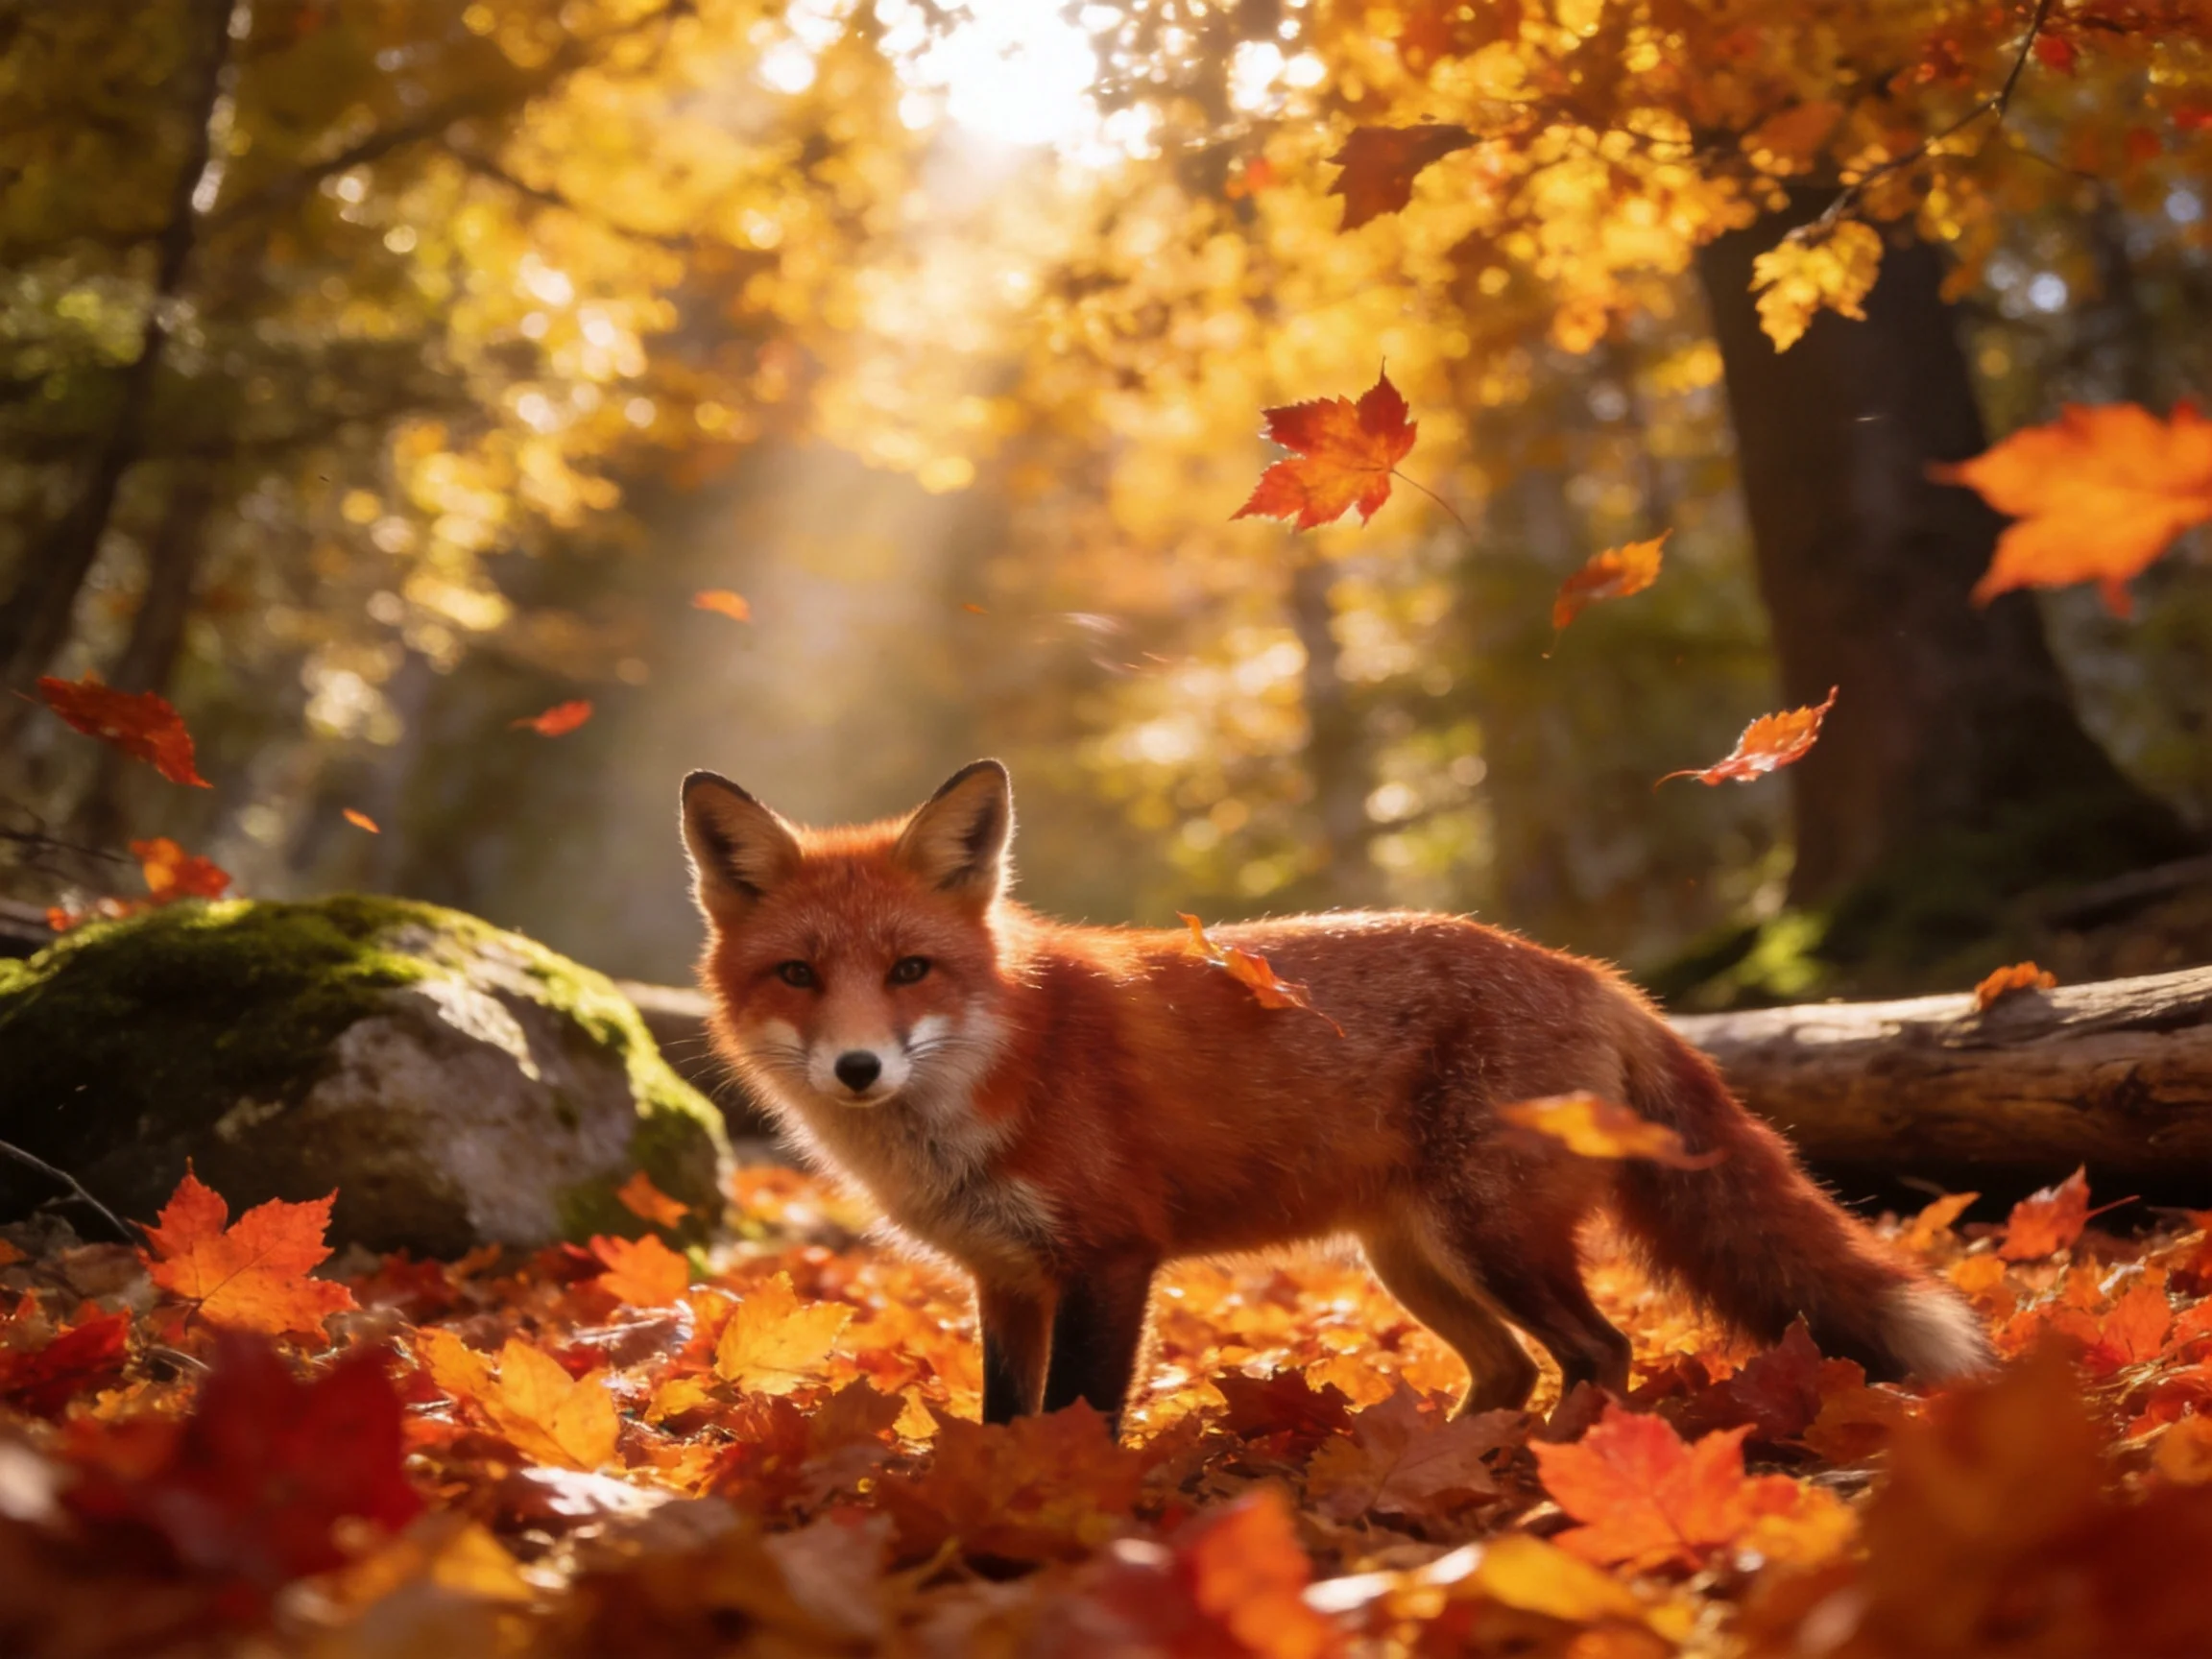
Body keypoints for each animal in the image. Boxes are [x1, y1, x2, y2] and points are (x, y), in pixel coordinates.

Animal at [680, 759, 1992, 1433]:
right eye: (799, 976)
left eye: (910, 970)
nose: (858, 1068)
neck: (997, 1064)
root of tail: (1595, 972)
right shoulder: (1005, 1281)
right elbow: (1012, 1418)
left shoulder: (1111, 1260)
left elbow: (1084, 1414)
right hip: (1412, 1261)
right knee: (1509, 1369)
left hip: (1490, 1237)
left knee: (1600, 1348)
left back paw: (1549, 1475)